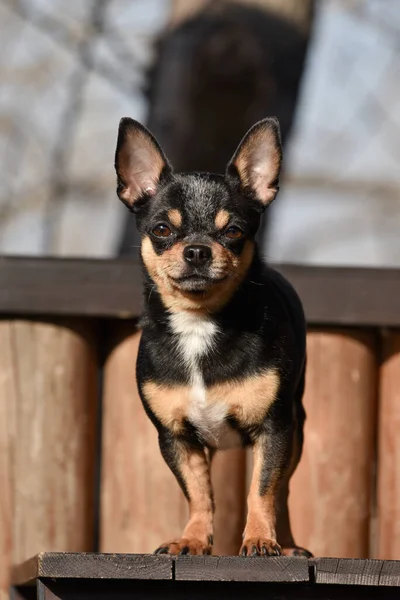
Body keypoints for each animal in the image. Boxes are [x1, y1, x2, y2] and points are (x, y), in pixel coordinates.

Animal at [114, 116, 310, 556]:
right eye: (162, 229)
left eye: (234, 231)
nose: (198, 250)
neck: (199, 322)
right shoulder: (176, 438)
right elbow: (199, 493)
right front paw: (192, 538)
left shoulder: (275, 429)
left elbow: (263, 489)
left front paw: (260, 538)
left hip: (296, 428)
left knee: (284, 490)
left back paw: (288, 544)